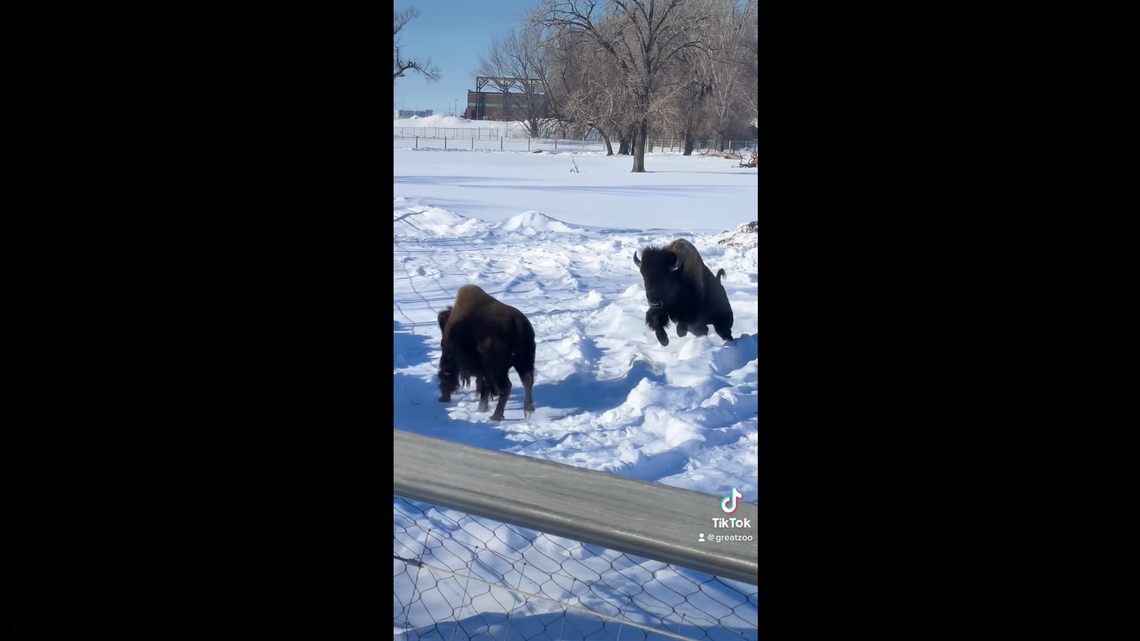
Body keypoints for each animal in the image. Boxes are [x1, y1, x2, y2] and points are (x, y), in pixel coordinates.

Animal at [437, 285, 536, 421]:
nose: (442, 399)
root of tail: (517, 322)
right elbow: (485, 388)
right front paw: (481, 409)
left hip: (498, 370)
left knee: (507, 387)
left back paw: (496, 416)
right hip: (524, 362)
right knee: (527, 381)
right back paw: (528, 410)